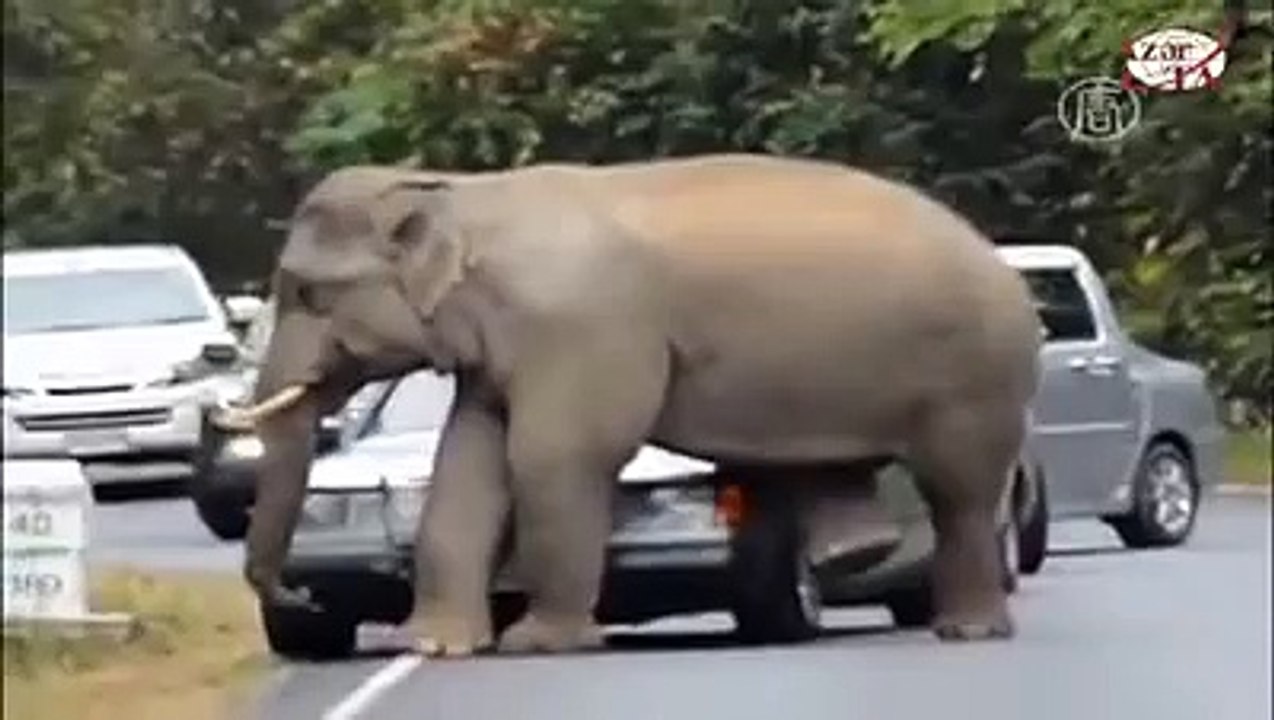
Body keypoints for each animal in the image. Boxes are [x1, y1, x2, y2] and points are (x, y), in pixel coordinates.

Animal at [215, 153, 1042, 656]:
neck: (460, 191)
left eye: (309, 293)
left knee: (961, 492)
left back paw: (967, 631)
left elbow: (553, 458)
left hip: (975, 375)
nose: (294, 592)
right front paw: (437, 645)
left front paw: (540, 644)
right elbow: (467, 466)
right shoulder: (500, 354)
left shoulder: (578, 329)